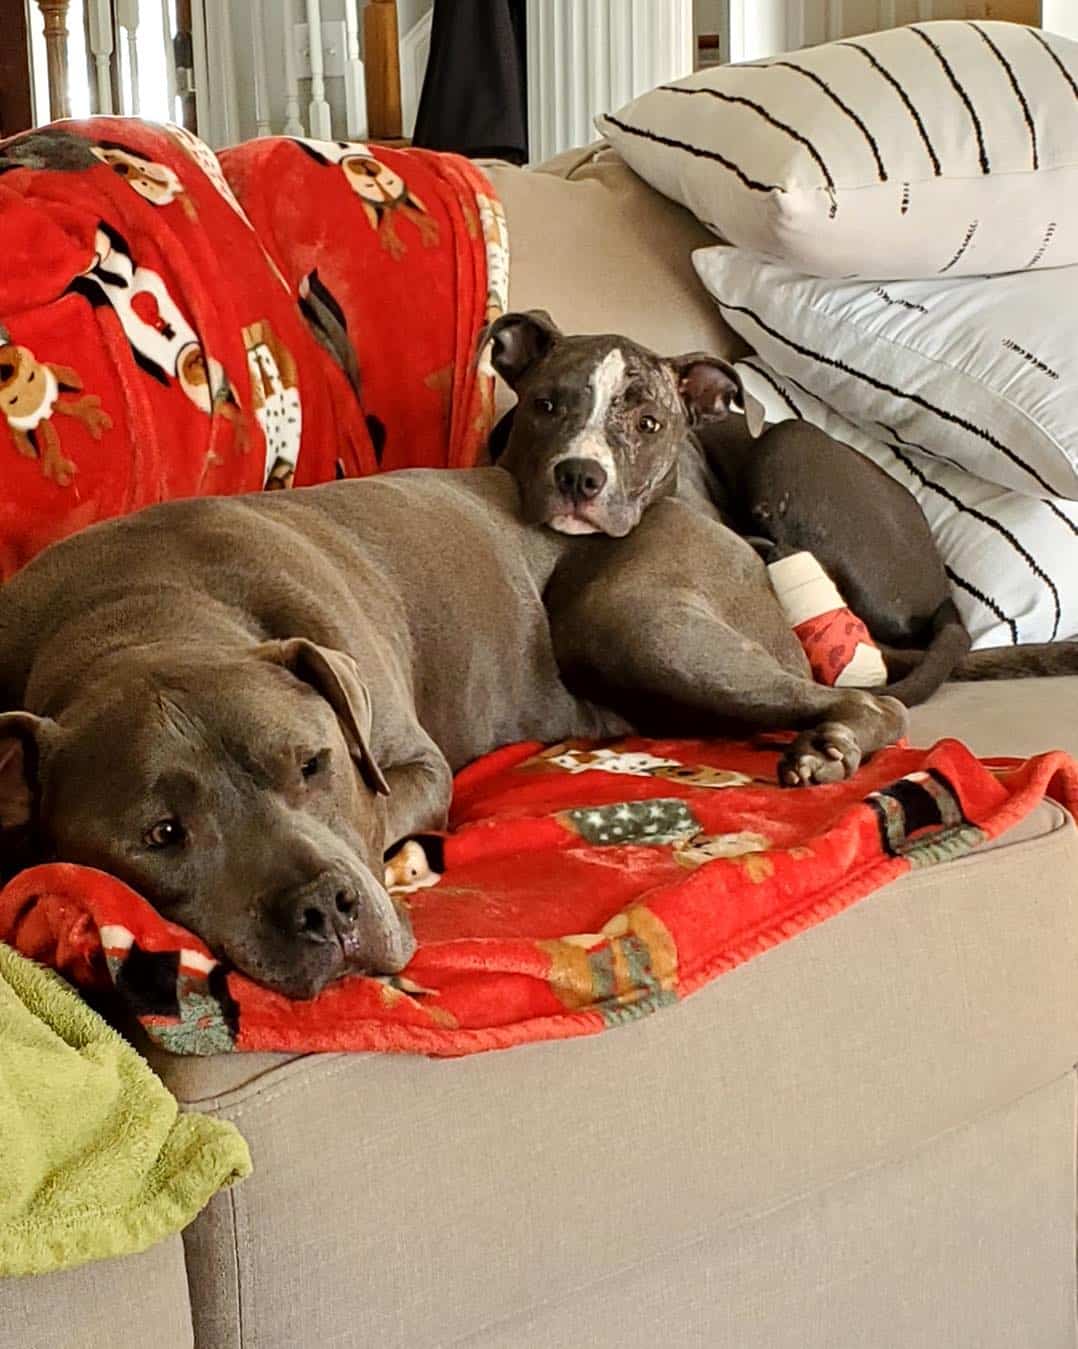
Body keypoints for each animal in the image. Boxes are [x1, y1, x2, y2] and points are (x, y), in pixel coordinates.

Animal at [0, 310, 912, 998]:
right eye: (162, 832)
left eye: (314, 764)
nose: (329, 908)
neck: (144, 604)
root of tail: (704, 517)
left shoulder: (417, 763)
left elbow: (383, 809)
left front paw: (396, 856)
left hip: (631, 617)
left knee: (871, 700)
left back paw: (828, 747)